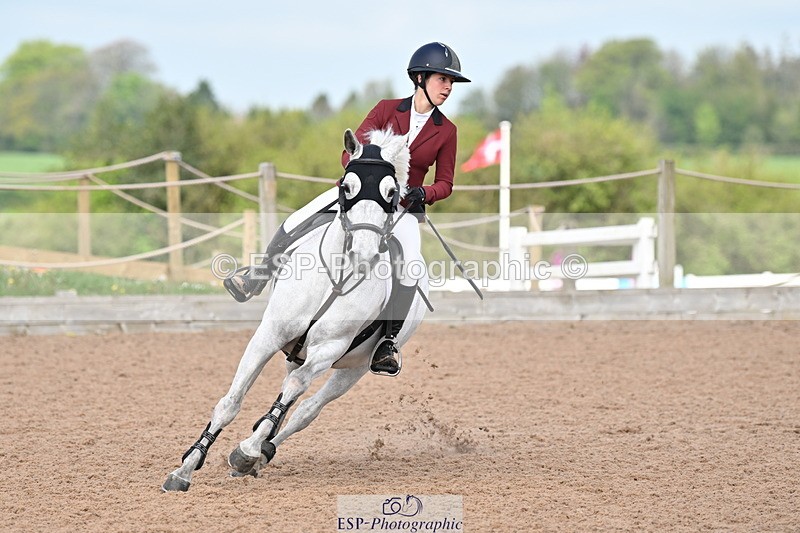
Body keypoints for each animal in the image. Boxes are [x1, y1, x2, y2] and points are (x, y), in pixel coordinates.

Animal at [162, 128, 429, 492]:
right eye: (346, 187)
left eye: (392, 192)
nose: (363, 254)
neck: (337, 275)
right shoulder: (268, 336)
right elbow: (230, 402)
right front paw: (185, 468)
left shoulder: (328, 349)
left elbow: (294, 392)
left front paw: (247, 450)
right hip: (295, 353)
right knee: (289, 399)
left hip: (353, 369)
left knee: (305, 409)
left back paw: (259, 453)